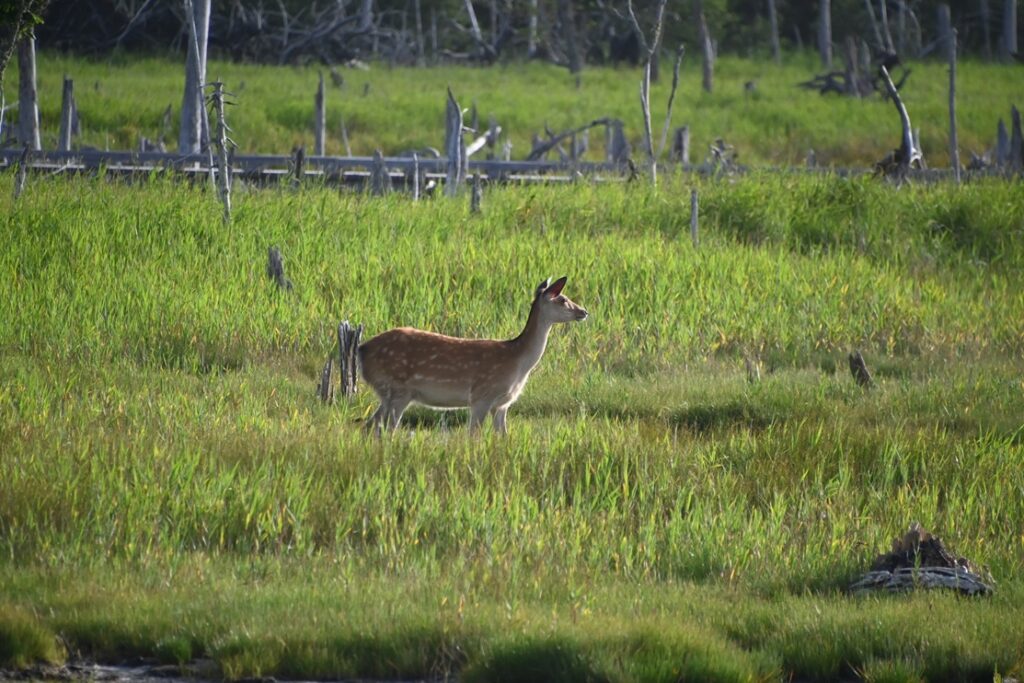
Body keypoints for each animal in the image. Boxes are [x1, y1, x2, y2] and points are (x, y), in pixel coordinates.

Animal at [360, 276, 589, 432]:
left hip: (388, 393)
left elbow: (502, 437)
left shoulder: (502, 404)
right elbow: (473, 436)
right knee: (386, 430)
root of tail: (362, 349)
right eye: (562, 299)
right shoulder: (482, 395)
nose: (584, 311)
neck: (517, 361)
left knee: (369, 426)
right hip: (398, 389)